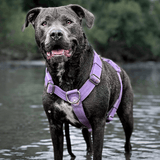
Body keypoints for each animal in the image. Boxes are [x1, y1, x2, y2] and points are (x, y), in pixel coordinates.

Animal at [21, 4, 133, 160]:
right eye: (44, 23)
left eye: (68, 21)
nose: (56, 34)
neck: (66, 76)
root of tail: (120, 69)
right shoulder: (54, 124)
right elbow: (58, 153)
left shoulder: (98, 123)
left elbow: (98, 153)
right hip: (86, 128)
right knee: (89, 146)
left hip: (127, 116)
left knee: (128, 143)